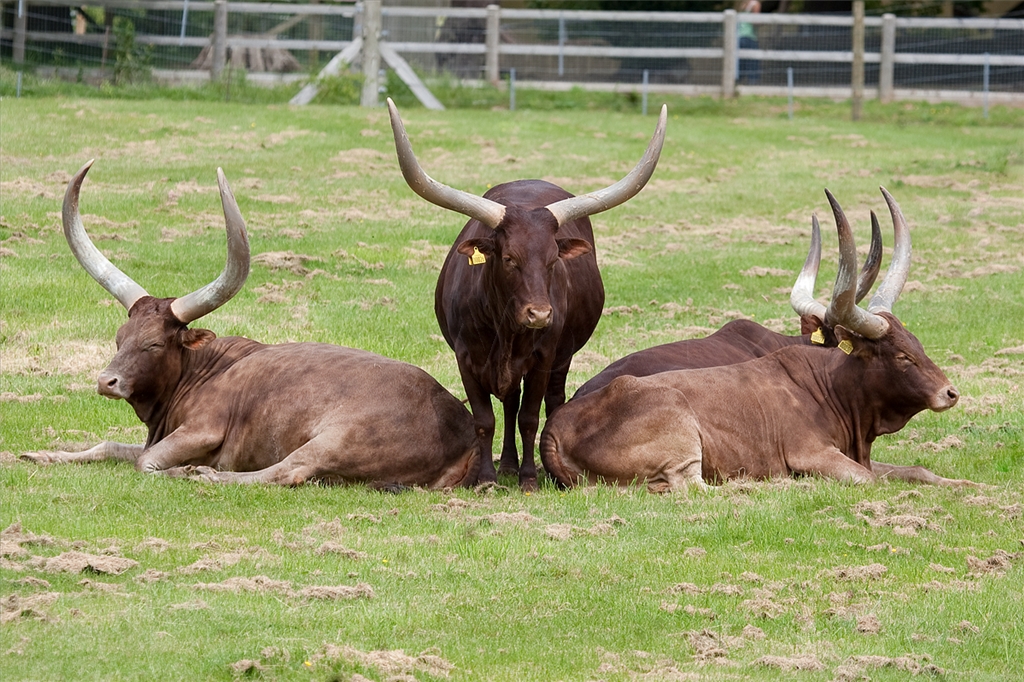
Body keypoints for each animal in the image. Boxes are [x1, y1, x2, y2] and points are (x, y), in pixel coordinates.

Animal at [19, 160, 480, 489]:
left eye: (153, 344)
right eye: (120, 338)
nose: (106, 381)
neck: (201, 371)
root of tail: (462, 426)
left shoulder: (202, 429)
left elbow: (144, 461)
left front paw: (182, 471)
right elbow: (109, 445)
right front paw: (42, 455)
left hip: (335, 438)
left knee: (289, 471)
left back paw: (209, 476)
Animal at [387, 98, 667, 491]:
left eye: (552, 260)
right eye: (509, 259)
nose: (539, 315)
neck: (505, 328)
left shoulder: (543, 357)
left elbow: (530, 417)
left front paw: (530, 479)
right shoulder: (465, 357)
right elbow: (485, 419)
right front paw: (486, 478)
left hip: (561, 357)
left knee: (549, 402)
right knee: (508, 403)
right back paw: (505, 465)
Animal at [539, 189, 964, 492]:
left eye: (917, 343)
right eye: (902, 356)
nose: (950, 393)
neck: (830, 388)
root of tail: (554, 431)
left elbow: (917, 471)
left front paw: (964, 484)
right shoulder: (814, 454)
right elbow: (869, 480)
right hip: (681, 437)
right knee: (693, 487)